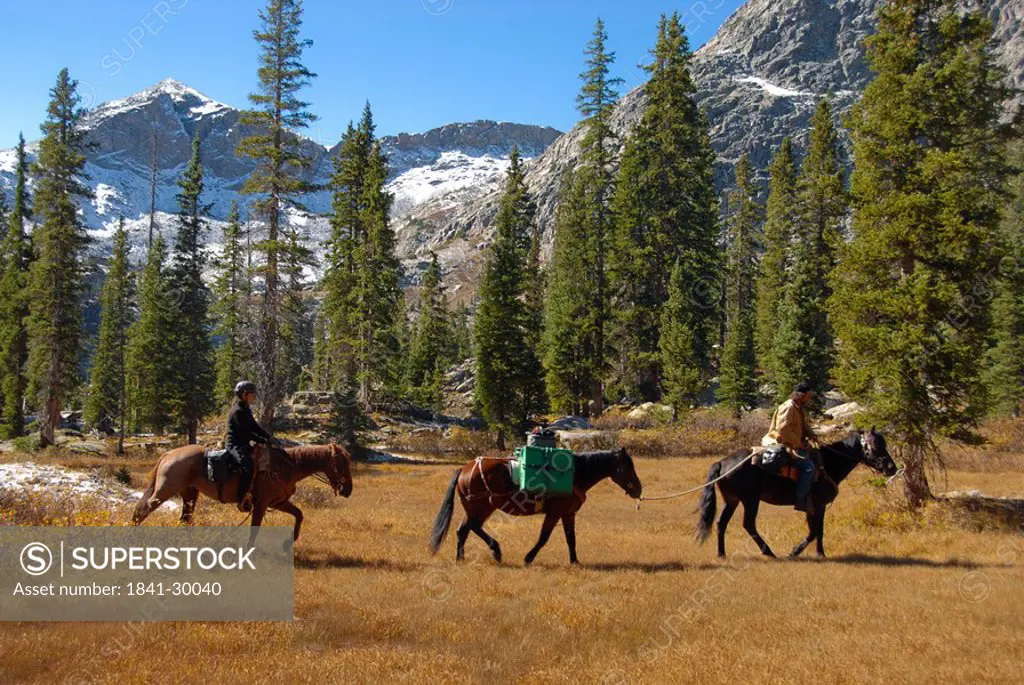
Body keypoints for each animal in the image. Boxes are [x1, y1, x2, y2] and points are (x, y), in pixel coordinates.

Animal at [130, 444, 354, 540]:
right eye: (341, 463)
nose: (348, 489)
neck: (286, 466)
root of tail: (169, 453)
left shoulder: (278, 502)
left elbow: (299, 514)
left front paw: (292, 540)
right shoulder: (262, 503)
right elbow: (255, 528)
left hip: (189, 494)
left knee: (184, 518)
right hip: (165, 490)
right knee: (143, 510)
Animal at [430, 446, 638, 565]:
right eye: (626, 467)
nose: (638, 489)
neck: (575, 474)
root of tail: (464, 469)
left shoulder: (568, 514)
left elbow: (571, 538)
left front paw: (575, 561)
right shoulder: (554, 513)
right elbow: (543, 538)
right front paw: (528, 558)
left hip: (473, 509)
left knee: (462, 530)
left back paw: (460, 558)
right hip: (483, 507)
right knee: (472, 527)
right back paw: (496, 550)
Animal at [696, 430, 897, 557]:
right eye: (875, 445)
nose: (891, 468)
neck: (828, 462)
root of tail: (722, 462)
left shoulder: (817, 507)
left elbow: (818, 531)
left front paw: (819, 553)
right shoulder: (817, 505)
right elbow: (815, 531)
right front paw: (799, 552)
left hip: (732, 500)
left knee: (721, 523)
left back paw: (721, 554)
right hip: (750, 500)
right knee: (748, 524)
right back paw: (769, 552)